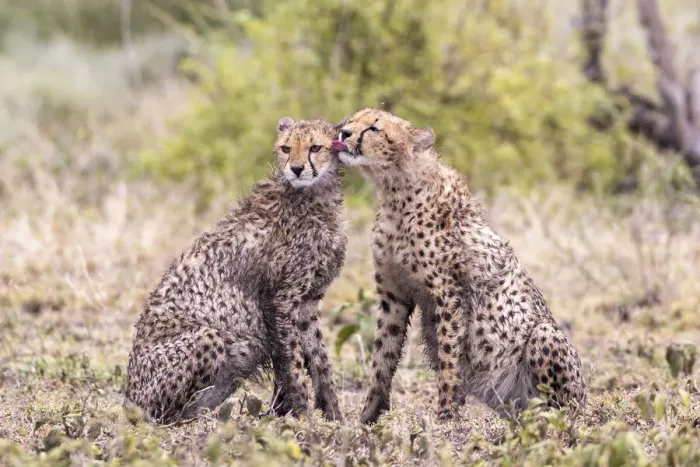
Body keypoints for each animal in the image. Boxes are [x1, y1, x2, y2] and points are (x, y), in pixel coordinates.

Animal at [124, 117, 347, 424]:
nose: (296, 169)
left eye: (315, 147)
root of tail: (128, 400)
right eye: (286, 148)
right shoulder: (281, 302)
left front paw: (336, 417)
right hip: (207, 337)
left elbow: (320, 362)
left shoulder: (307, 303)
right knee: (166, 416)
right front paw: (302, 417)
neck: (315, 195)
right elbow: (291, 364)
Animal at [332, 108, 587, 424]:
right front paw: (366, 418)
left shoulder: (448, 295)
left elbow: (449, 359)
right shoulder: (393, 296)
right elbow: (382, 358)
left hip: (545, 337)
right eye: (350, 121)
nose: (342, 133)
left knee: (560, 409)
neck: (396, 190)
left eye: (374, 129)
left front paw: (445, 418)